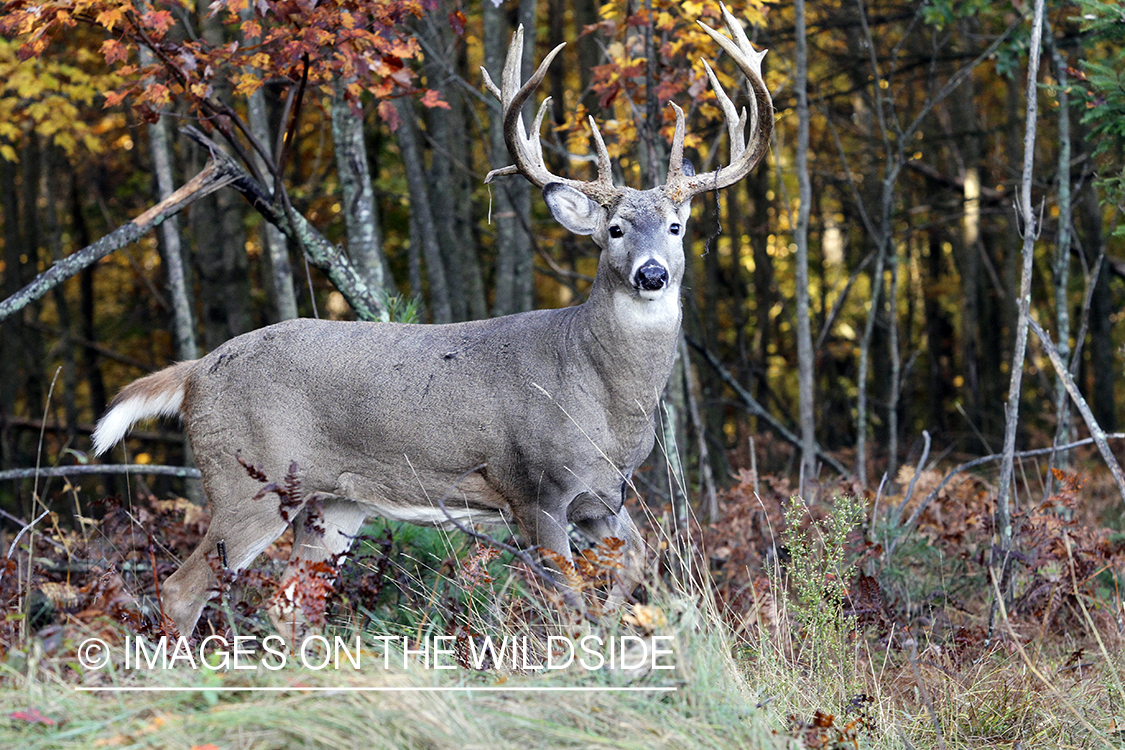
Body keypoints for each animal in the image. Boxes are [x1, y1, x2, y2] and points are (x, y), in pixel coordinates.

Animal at [90, 2, 774, 643]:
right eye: (614, 230)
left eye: (677, 227)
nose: (651, 273)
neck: (601, 395)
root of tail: (196, 371)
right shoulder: (535, 489)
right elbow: (570, 604)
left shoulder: (604, 494)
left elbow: (634, 564)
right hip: (245, 479)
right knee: (181, 589)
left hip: (334, 502)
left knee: (287, 604)